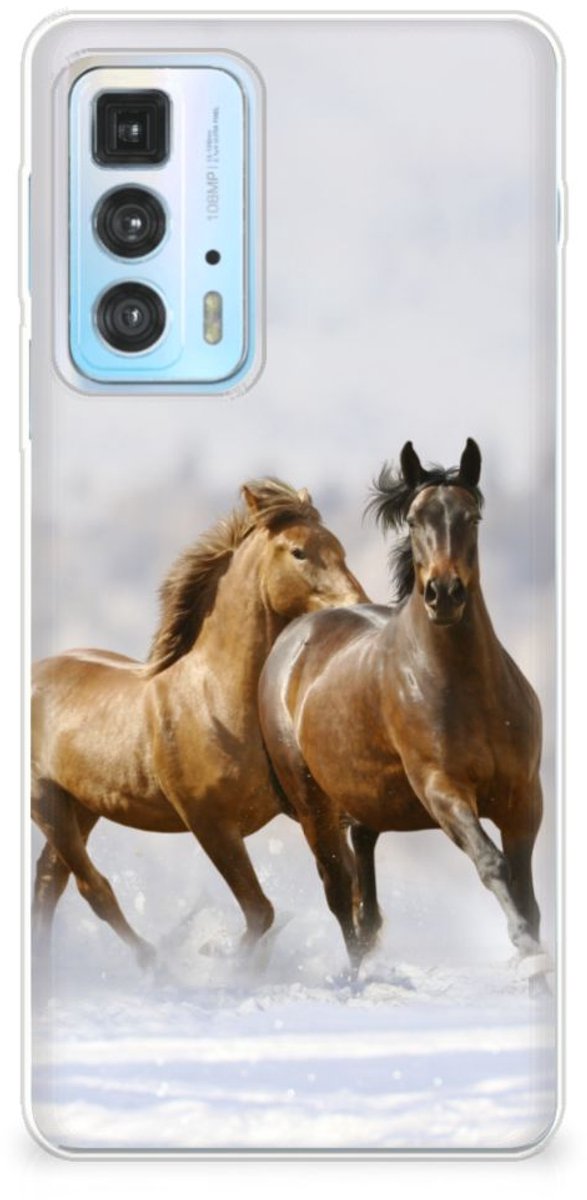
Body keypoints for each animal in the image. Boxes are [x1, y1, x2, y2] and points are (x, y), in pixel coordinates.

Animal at [31, 478, 367, 968]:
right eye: (299, 552)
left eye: (340, 547)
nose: (359, 606)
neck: (216, 702)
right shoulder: (210, 824)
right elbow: (261, 912)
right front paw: (222, 960)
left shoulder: (310, 809)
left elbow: (342, 888)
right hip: (45, 800)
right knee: (91, 888)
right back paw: (153, 963)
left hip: (82, 805)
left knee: (48, 881)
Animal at [259, 440, 544, 972]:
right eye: (413, 519)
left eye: (472, 516)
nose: (444, 594)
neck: (469, 691)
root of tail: (293, 637)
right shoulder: (442, 790)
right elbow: (492, 864)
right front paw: (526, 950)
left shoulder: (523, 798)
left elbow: (527, 894)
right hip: (313, 806)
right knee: (339, 894)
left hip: (364, 802)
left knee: (364, 896)